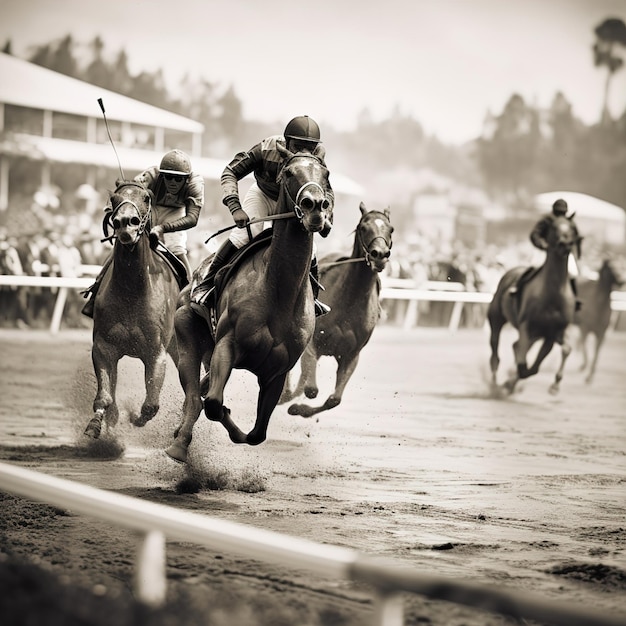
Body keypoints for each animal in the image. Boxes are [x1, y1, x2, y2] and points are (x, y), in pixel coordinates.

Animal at [84, 180, 180, 438]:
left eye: (146, 197)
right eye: (114, 199)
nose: (125, 222)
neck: (131, 291)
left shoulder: (156, 352)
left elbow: (151, 405)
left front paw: (136, 418)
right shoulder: (104, 346)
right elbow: (105, 396)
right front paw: (97, 424)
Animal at [165, 144, 332, 460]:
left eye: (325, 174)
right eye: (289, 172)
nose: (315, 207)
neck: (278, 293)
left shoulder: (278, 371)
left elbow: (257, 434)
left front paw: (241, 431)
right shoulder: (227, 345)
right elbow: (213, 403)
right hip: (187, 335)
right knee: (194, 396)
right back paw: (179, 444)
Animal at [280, 200, 392, 414]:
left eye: (391, 229)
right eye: (364, 227)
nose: (379, 255)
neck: (348, 302)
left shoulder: (351, 356)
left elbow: (334, 400)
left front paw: (298, 408)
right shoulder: (312, 344)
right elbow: (311, 390)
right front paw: (294, 404)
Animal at [488, 212, 580, 392]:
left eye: (572, 228)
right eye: (554, 227)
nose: (565, 244)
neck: (553, 293)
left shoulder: (552, 332)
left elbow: (536, 366)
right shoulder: (527, 324)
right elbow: (523, 357)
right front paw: (512, 379)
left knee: (517, 347)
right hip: (496, 316)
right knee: (496, 346)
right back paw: (495, 382)